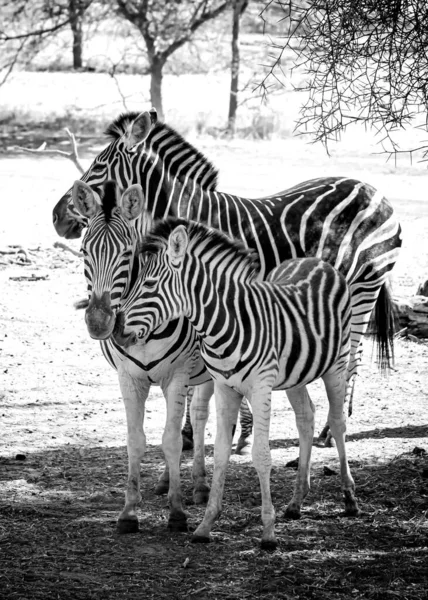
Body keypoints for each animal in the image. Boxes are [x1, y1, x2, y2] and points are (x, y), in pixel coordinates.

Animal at [52, 110, 402, 442]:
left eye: (98, 166)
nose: (56, 217)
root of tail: (372, 188)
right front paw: (219, 428)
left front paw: (222, 429)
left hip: (365, 286)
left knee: (353, 355)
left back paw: (331, 429)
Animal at [115, 218, 360, 552]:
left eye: (150, 285)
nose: (115, 331)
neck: (224, 323)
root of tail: (317, 260)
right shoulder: (224, 386)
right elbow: (220, 452)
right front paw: (205, 525)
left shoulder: (260, 386)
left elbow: (261, 455)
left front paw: (268, 533)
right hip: (296, 375)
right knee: (305, 417)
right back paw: (296, 502)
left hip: (337, 362)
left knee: (337, 420)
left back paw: (349, 498)